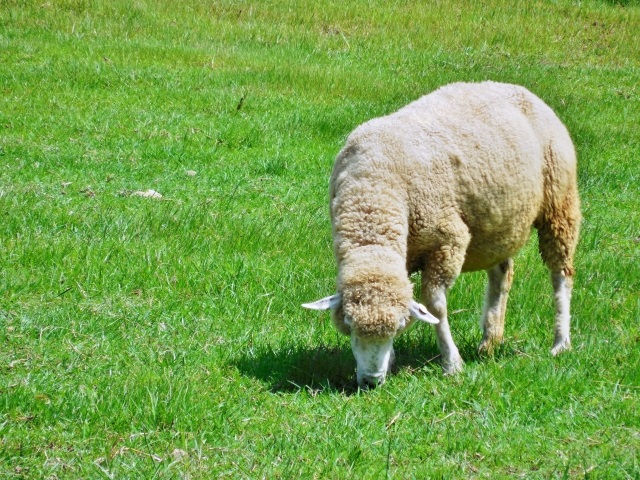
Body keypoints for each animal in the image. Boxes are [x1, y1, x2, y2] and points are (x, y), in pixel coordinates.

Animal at [304, 81, 580, 390]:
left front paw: (452, 362)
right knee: (502, 274)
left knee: (561, 274)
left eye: (398, 328)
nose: (372, 382)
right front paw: (394, 360)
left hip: (559, 203)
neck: (373, 190)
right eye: (349, 328)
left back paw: (560, 342)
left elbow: (435, 306)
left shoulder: (447, 242)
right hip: (497, 224)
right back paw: (490, 340)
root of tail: (518, 89)